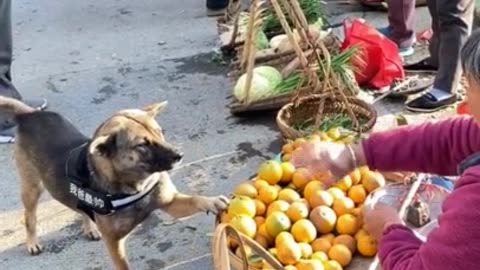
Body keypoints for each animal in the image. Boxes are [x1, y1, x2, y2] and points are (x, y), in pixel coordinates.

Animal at [0, 97, 229, 270]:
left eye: (160, 132)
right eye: (142, 145)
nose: (179, 155)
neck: (134, 185)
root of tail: (30, 115)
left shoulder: (170, 202)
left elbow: (196, 199)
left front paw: (212, 201)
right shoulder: (114, 243)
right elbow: (123, 265)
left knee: (80, 208)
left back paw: (89, 227)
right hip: (32, 188)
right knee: (29, 217)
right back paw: (32, 242)